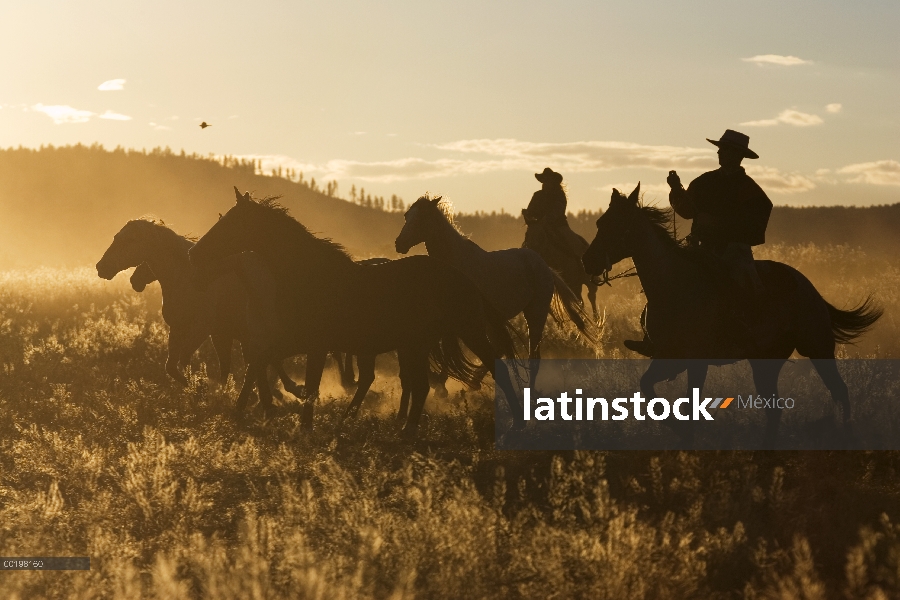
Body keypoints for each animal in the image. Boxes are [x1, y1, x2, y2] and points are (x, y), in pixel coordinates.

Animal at [190, 188, 524, 436]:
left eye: (230, 223)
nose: (194, 253)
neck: (306, 276)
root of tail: (463, 278)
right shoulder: (292, 341)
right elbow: (258, 365)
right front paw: (243, 412)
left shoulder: (315, 345)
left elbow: (308, 385)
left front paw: (303, 426)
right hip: (416, 344)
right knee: (420, 386)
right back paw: (405, 430)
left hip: (467, 332)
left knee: (491, 369)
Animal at [396, 195, 596, 386]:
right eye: (407, 216)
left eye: (422, 217)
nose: (399, 244)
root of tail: (543, 265)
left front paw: (440, 383)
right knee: (501, 348)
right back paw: (475, 381)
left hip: (535, 314)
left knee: (532, 356)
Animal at [580, 185, 884, 448]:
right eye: (600, 223)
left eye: (616, 224)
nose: (588, 260)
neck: (674, 285)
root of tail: (810, 289)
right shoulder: (667, 358)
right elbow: (649, 390)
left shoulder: (695, 361)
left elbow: (689, 407)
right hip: (765, 363)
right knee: (775, 409)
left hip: (818, 348)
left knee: (839, 391)